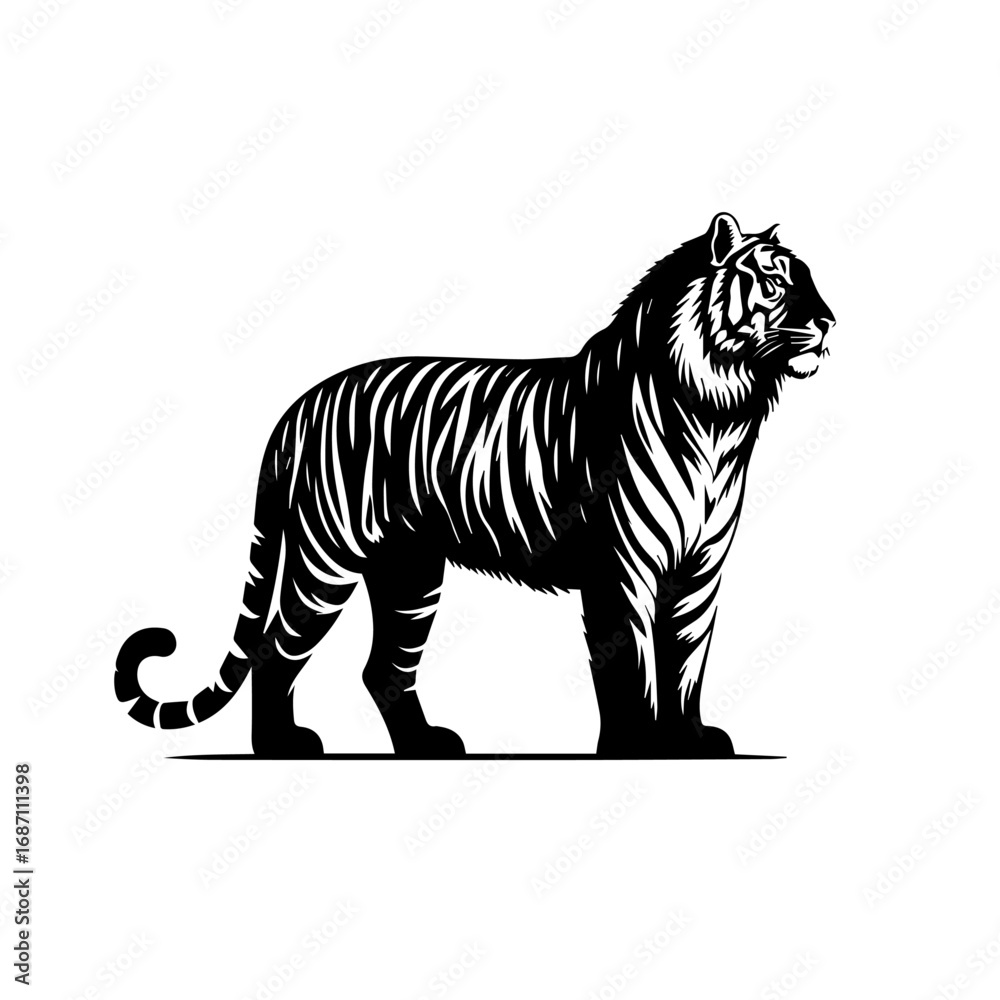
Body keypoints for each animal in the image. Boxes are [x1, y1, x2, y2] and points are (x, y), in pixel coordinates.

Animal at [116, 212, 835, 757]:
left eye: (809, 279)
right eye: (775, 282)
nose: (829, 321)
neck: (718, 416)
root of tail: (297, 407)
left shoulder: (699, 569)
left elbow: (686, 661)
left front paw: (691, 740)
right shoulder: (620, 570)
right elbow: (629, 667)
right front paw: (635, 745)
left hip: (409, 571)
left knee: (383, 669)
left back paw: (424, 744)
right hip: (326, 558)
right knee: (274, 651)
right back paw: (282, 745)